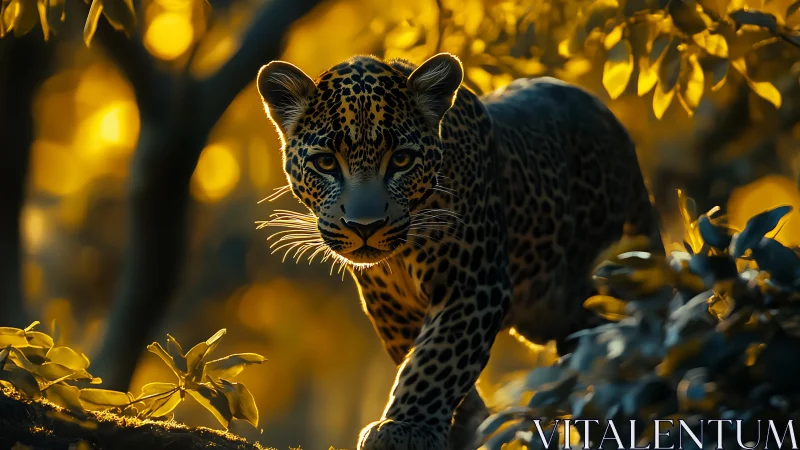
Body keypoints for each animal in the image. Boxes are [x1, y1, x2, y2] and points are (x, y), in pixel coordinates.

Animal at [255, 52, 664, 450]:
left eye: (401, 160)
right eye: (326, 162)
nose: (365, 227)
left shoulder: (474, 285)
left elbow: (438, 358)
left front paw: (407, 425)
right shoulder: (390, 306)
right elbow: (421, 356)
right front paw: (458, 421)